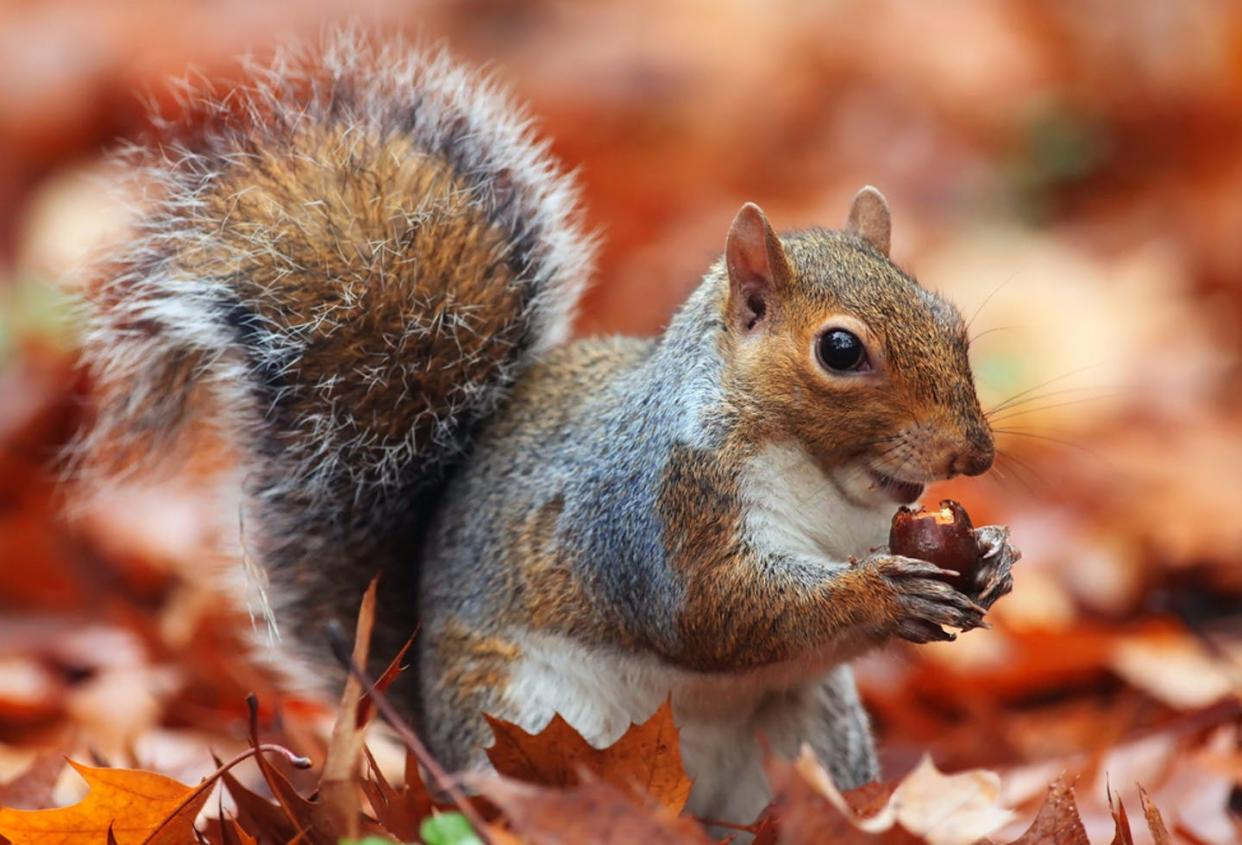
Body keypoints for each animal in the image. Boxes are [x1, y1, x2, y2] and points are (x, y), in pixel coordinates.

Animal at [82, 31, 1018, 825]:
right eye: (839, 349)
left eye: (951, 321)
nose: (974, 453)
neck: (826, 483)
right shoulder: (652, 513)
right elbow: (715, 611)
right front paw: (881, 592)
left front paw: (991, 558)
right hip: (529, 722)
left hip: (808, 733)